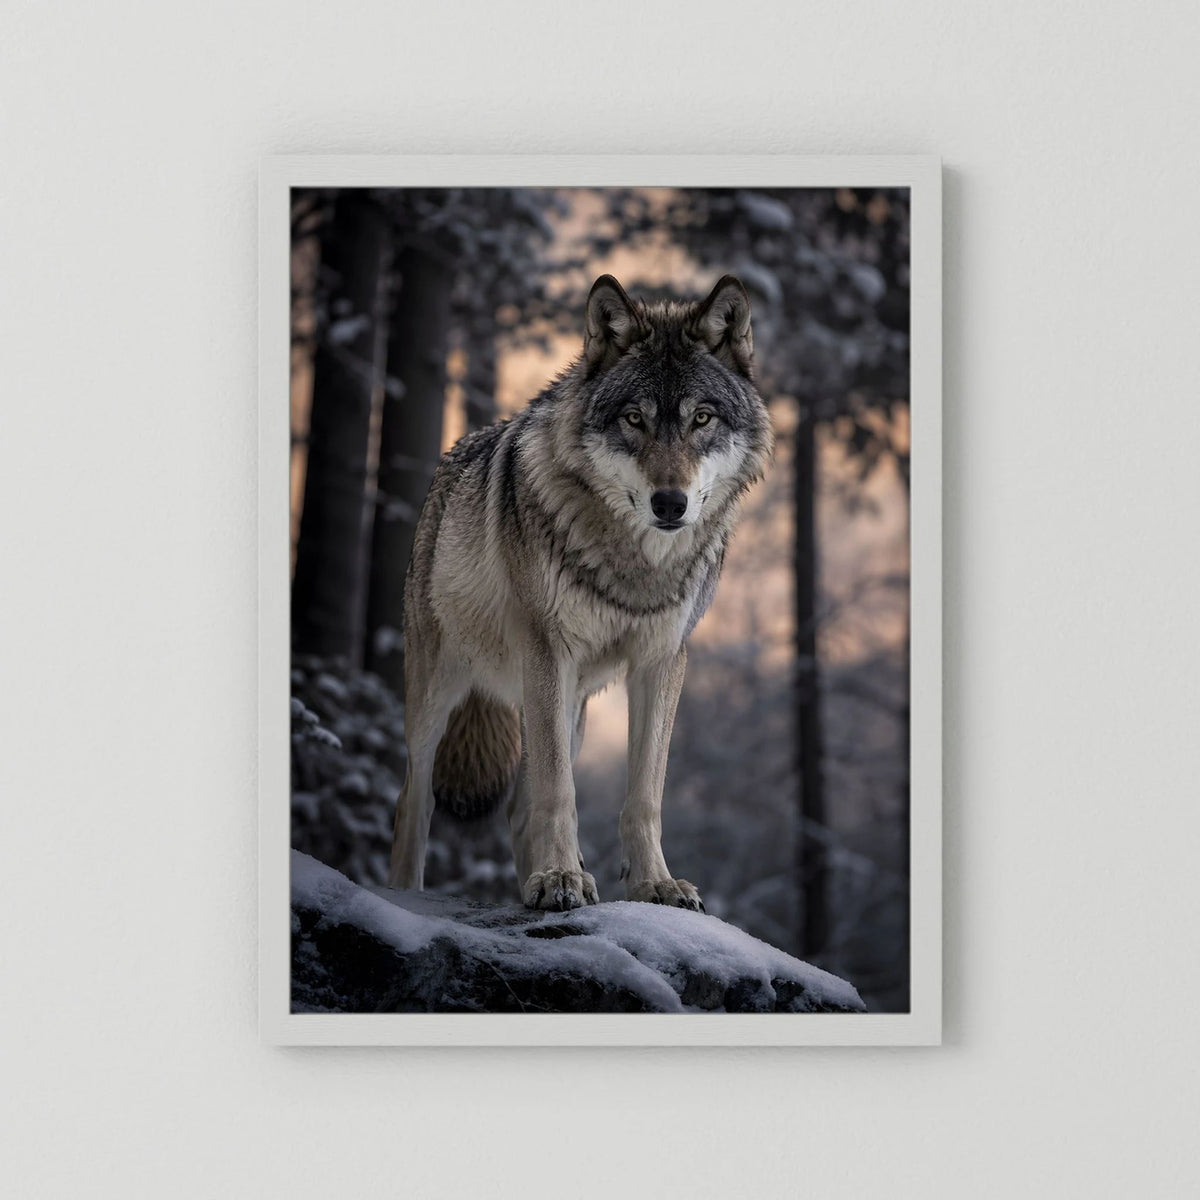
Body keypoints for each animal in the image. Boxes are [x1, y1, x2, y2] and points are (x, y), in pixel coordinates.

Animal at [387, 274, 773, 911]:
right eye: (635, 418)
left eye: (702, 418)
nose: (671, 503)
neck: (634, 563)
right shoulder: (549, 650)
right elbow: (559, 792)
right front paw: (560, 878)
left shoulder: (662, 661)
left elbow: (644, 795)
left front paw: (654, 884)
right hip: (442, 694)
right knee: (413, 800)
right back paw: (408, 896)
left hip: (572, 708)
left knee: (518, 810)